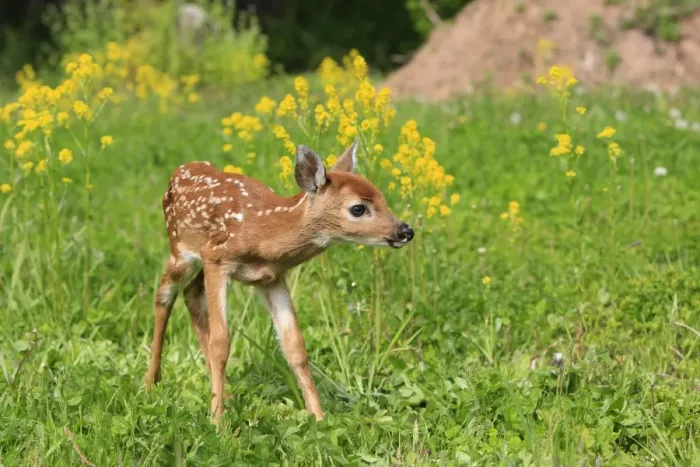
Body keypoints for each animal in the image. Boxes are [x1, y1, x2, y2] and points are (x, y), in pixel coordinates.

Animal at [144, 140, 414, 422]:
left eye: (383, 199)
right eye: (358, 208)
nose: (405, 231)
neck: (264, 234)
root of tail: (179, 170)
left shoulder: (272, 279)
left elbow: (294, 346)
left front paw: (318, 417)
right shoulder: (217, 259)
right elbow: (220, 342)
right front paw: (217, 422)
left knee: (190, 294)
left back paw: (224, 393)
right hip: (180, 250)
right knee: (164, 294)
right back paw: (151, 383)